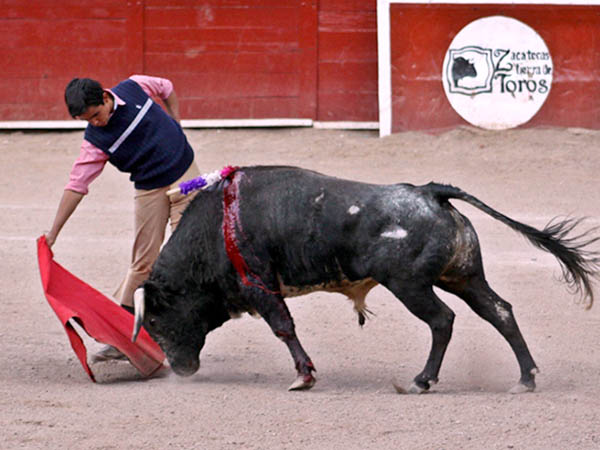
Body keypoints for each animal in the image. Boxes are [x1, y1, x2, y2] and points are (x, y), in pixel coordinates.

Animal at [132, 166, 600, 394]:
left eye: (153, 320)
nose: (181, 369)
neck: (219, 225)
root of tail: (431, 192)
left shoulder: (259, 285)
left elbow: (284, 327)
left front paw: (304, 377)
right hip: (462, 276)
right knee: (498, 310)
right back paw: (525, 379)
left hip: (409, 285)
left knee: (442, 320)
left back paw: (421, 381)